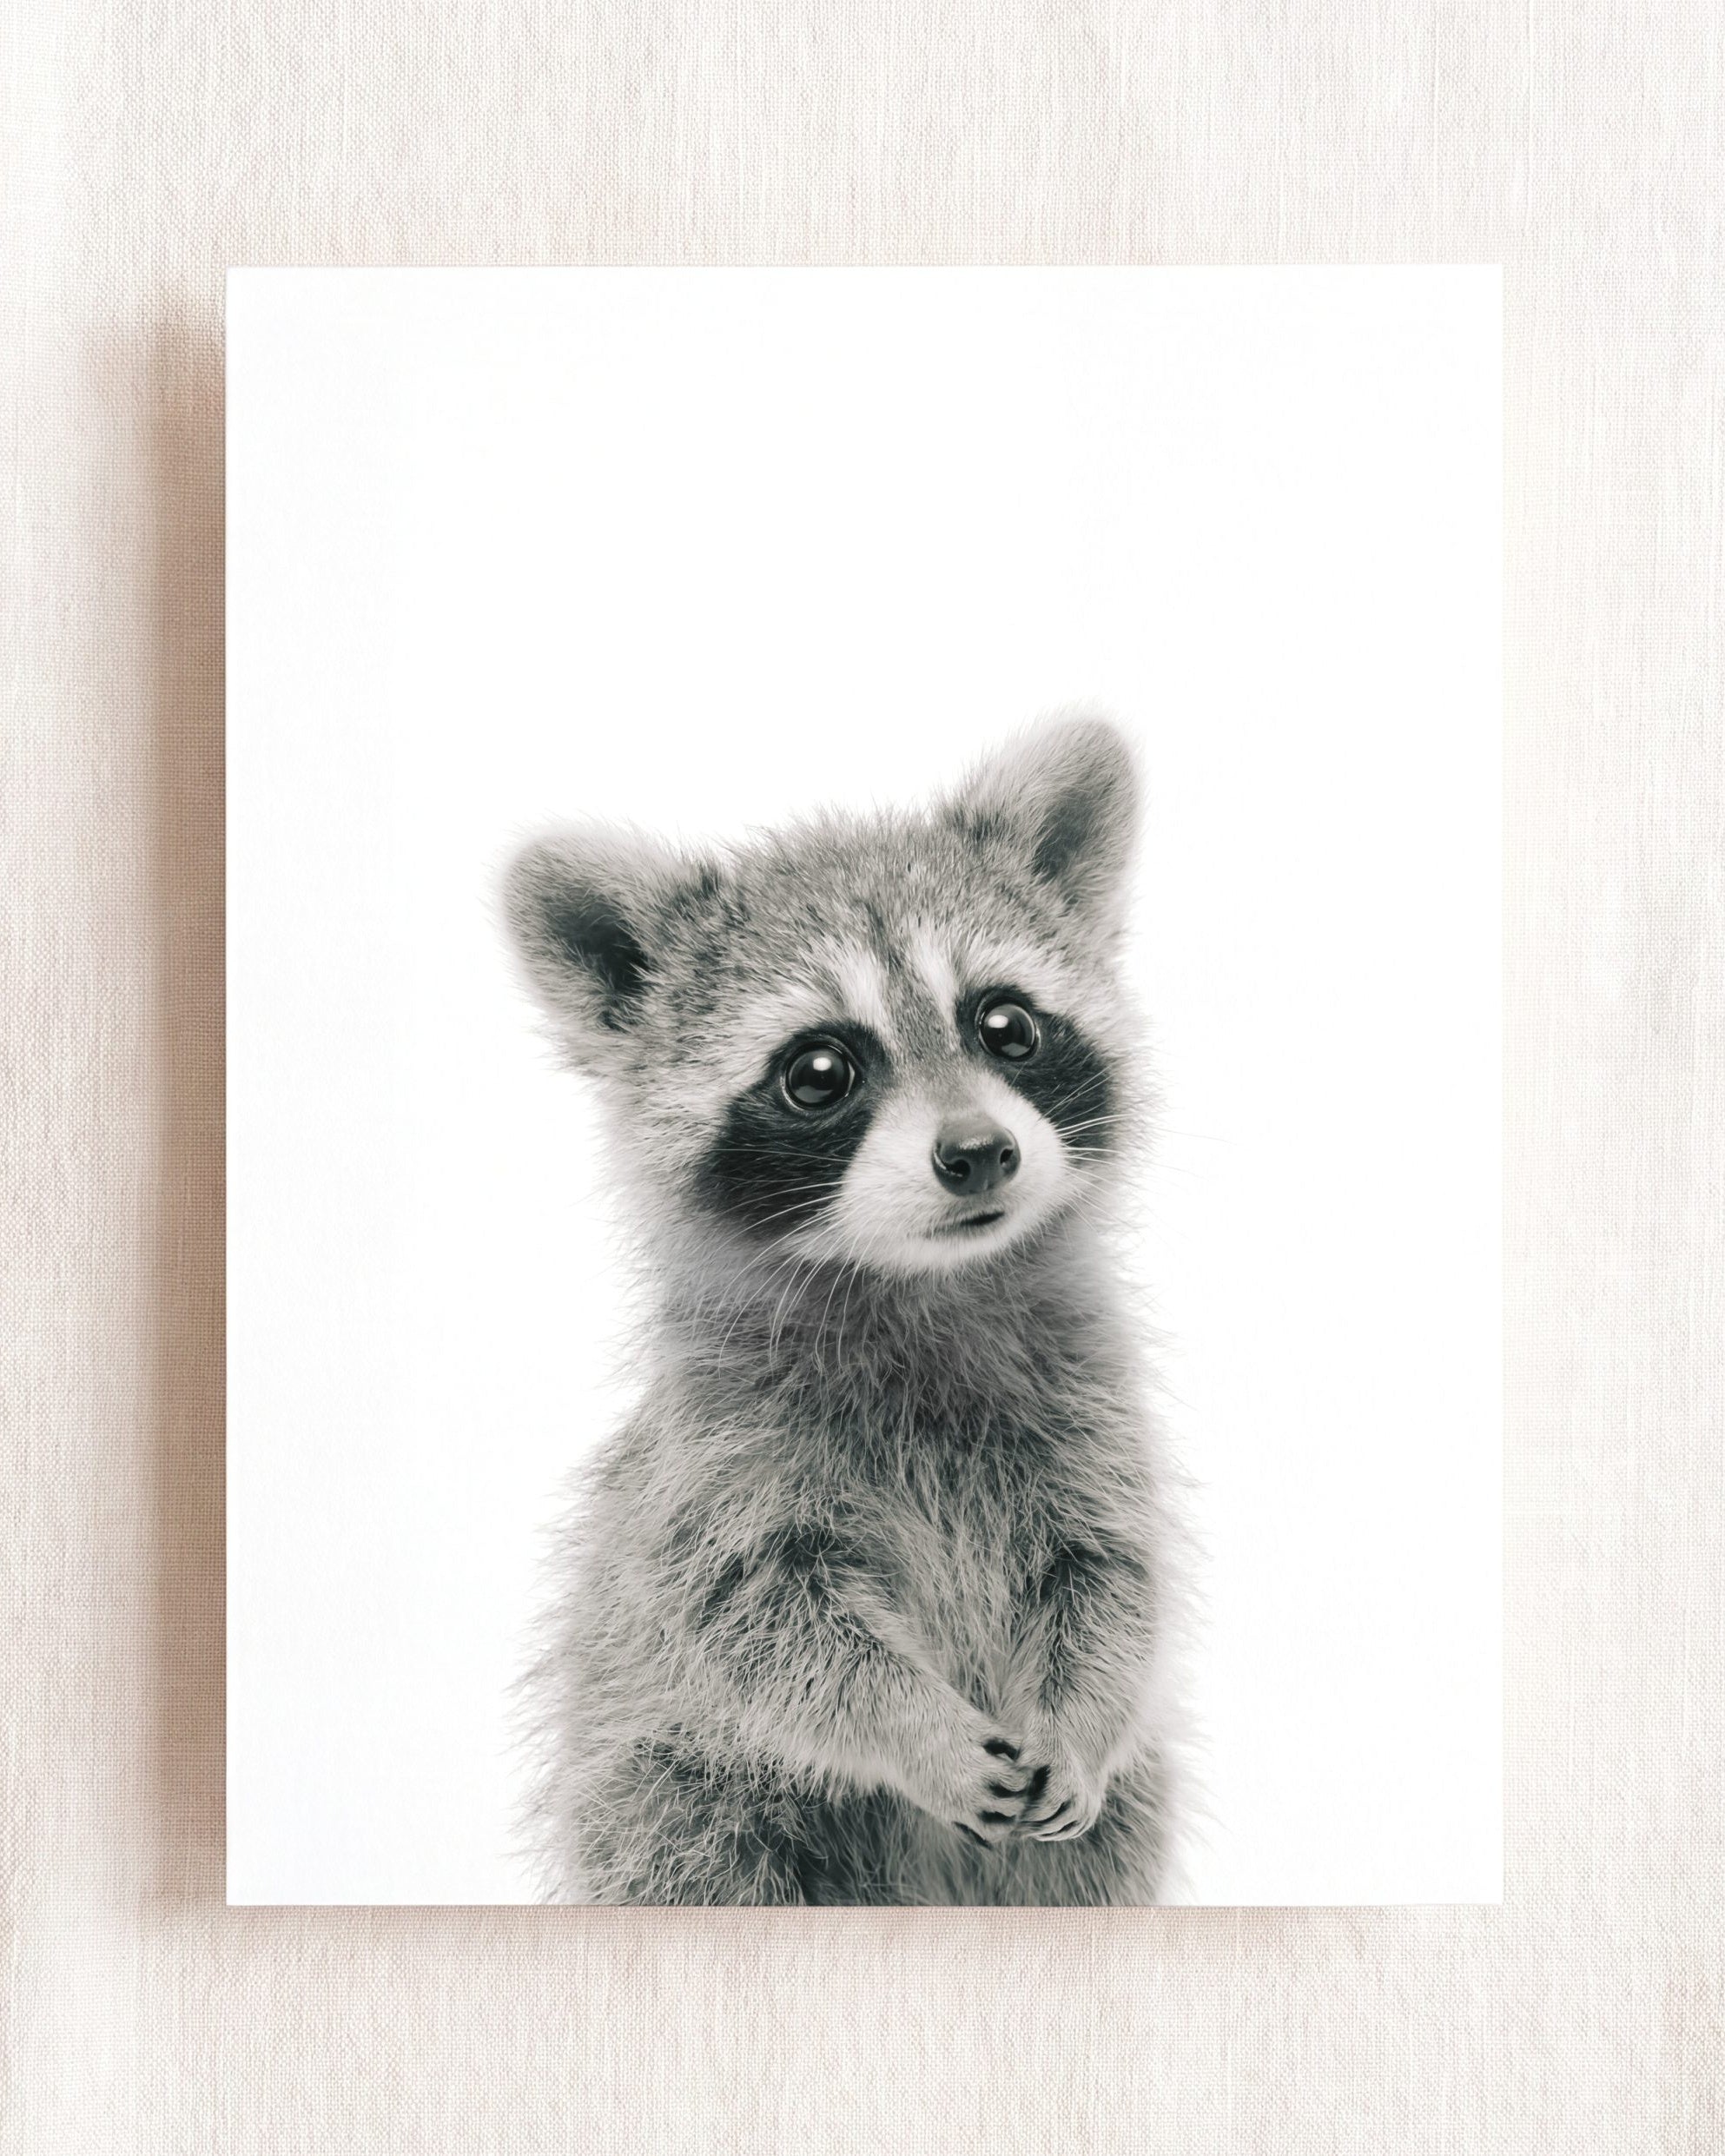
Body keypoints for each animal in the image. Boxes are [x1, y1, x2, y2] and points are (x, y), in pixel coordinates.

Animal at [504, 715, 1186, 1904]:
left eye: (1007, 1024)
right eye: (819, 1070)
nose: (979, 1152)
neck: (922, 1282)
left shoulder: (1091, 1415)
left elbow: (1110, 1574)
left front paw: (1082, 1712)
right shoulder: (715, 1465)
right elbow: (763, 1626)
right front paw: (916, 1729)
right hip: (675, 1795)